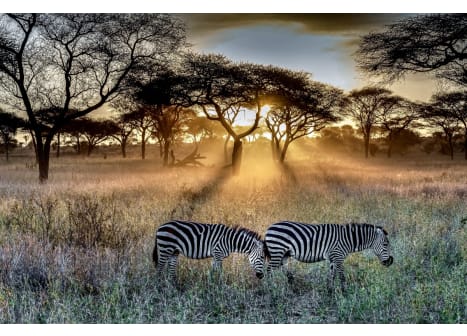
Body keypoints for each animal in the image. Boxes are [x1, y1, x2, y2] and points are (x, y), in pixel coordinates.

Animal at [266, 220, 394, 292]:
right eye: (386, 244)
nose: (390, 262)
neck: (348, 239)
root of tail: (269, 227)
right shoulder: (338, 256)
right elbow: (341, 275)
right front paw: (344, 291)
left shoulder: (333, 258)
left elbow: (332, 275)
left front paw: (330, 291)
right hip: (277, 251)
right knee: (269, 269)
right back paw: (271, 288)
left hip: (284, 253)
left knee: (281, 267)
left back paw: (291, 282)